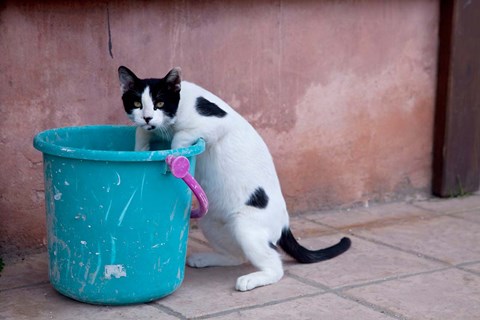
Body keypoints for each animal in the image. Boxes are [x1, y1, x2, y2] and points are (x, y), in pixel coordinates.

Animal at [118, 66, 350, 292]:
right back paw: (207, 259)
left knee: (275, 265)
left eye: (160, 103)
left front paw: (175, 155)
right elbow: (140, 133)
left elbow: (180, 136)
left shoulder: (217, 123)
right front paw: (141, 148)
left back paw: (251, 279)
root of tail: (285, 223)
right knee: (237, 256)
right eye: (137, 104)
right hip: (211, 221)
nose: (147, 117)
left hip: (244, 225)